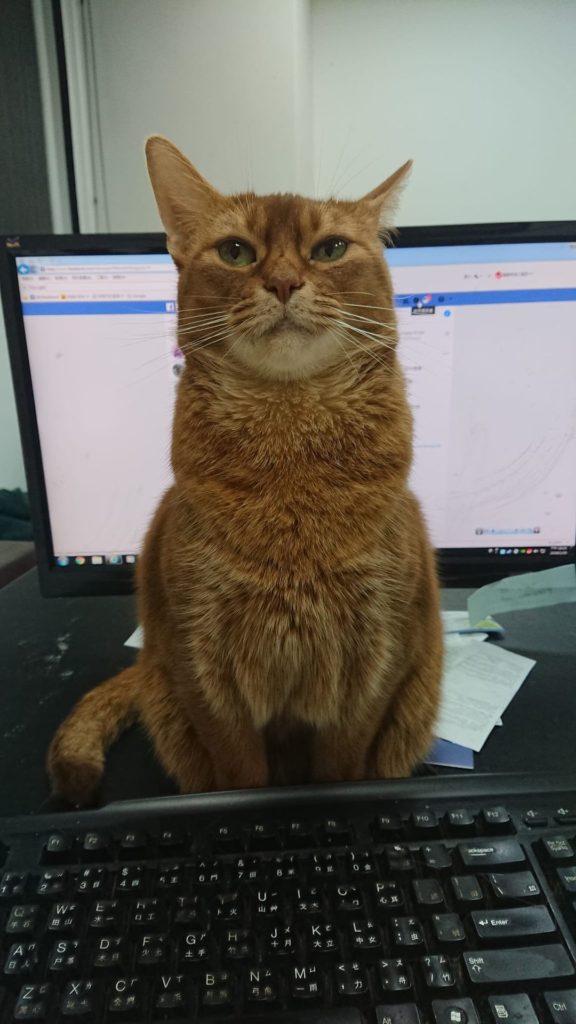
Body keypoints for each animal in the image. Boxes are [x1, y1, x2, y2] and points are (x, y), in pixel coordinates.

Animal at [48, 136, 443, 805]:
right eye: (236, 251)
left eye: (330, 248)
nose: (283, 281)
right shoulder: (201, 664)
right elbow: (239, 772)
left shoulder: (376, 662)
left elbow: (343, 766)